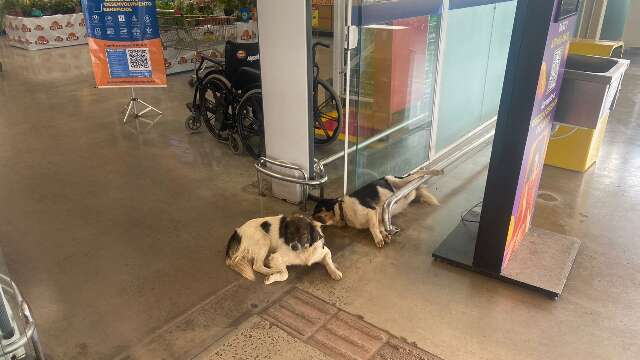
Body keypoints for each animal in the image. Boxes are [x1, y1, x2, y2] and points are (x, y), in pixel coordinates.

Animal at [312, 169, 442, 248]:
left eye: (317, 211)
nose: (310, 218)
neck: (344, 210)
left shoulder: (371, 211)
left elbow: (373, 227)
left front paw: (378, 239)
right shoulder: (379, 217)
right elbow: (379, 227)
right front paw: (384, 235)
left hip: (398, 180)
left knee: (418, 173)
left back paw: (436, 171)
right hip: (407, 193)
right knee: (415, 189)